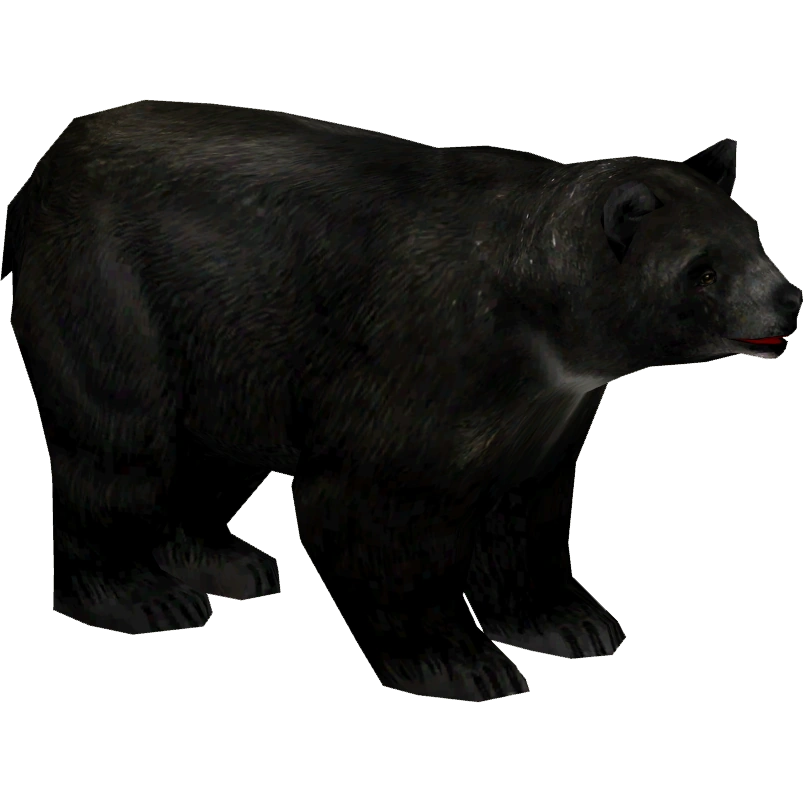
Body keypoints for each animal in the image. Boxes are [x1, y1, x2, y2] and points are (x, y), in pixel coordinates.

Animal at [1, 99, 798, 703]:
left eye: (754, 236)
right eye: (704, 269)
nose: (785, 300)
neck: (542, 328)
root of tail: (40, 169)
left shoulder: (546, 409)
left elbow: (529, 510)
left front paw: (574, 620)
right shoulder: (420, 360)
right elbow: (373, 510)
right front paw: (464, 663)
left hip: (227, 354)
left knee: (205, 460)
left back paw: (220, 559)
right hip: (112, 298)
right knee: (117, 448)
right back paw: (139, 595)